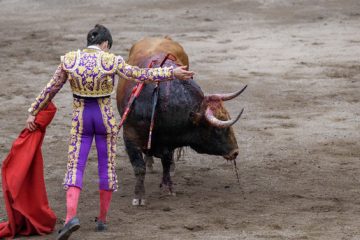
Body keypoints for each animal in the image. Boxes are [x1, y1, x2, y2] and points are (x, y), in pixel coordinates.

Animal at [116, 36, 246, 205]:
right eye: (217, 129)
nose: (235, 152)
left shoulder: (169, 140)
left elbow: (166, 161)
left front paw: (168, 187)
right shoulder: (130, 136)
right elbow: (139, 168)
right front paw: (139, 196)